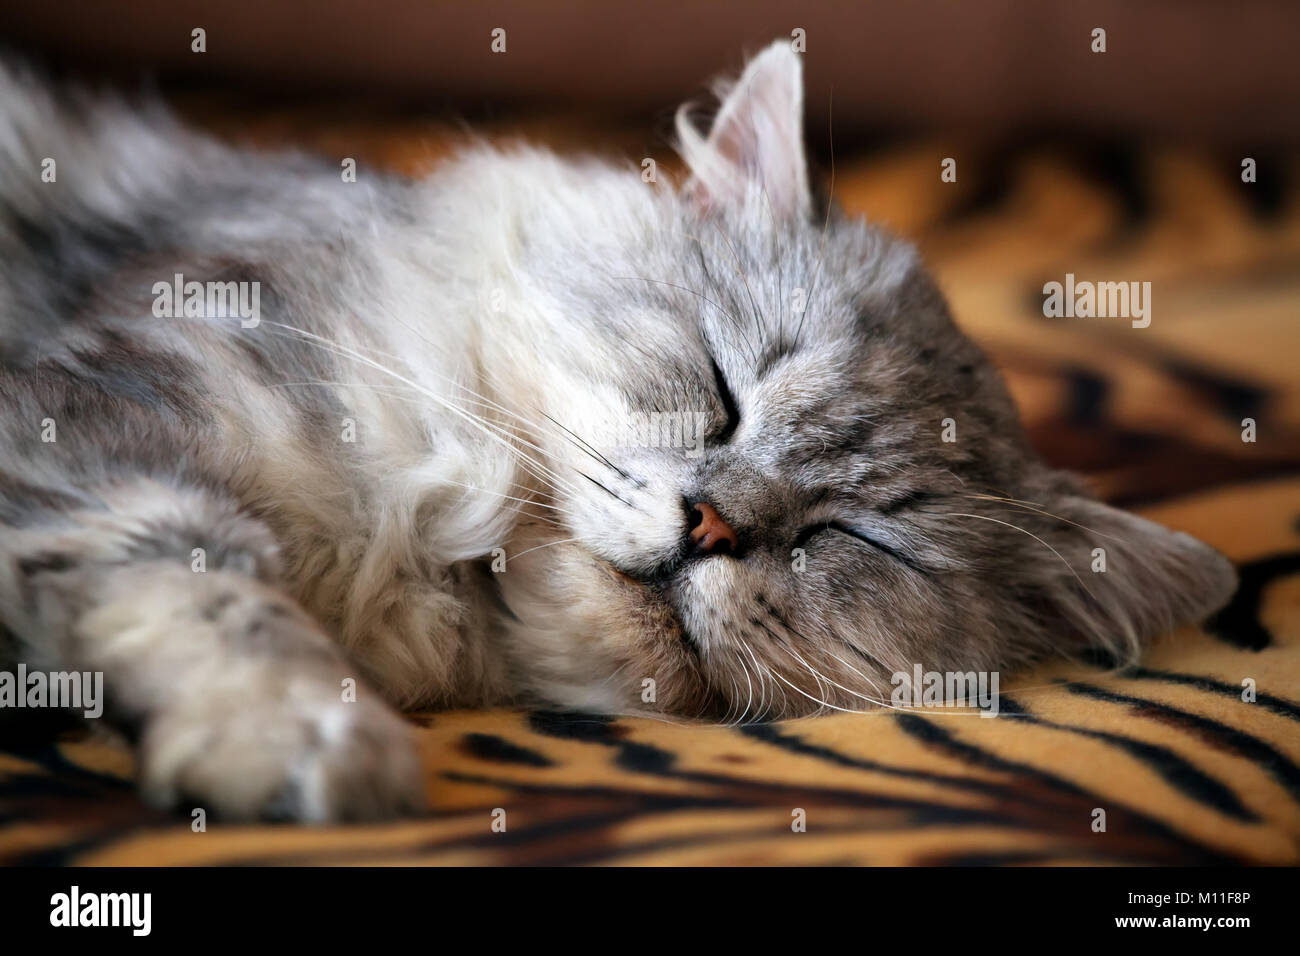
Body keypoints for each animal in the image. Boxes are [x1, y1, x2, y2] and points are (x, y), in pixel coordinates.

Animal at [0, 44, 1232, 822]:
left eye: (852, 538)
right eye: (724, 390)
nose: (712, 524)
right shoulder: (115, 428)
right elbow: (210, 587)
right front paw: (303, 744)